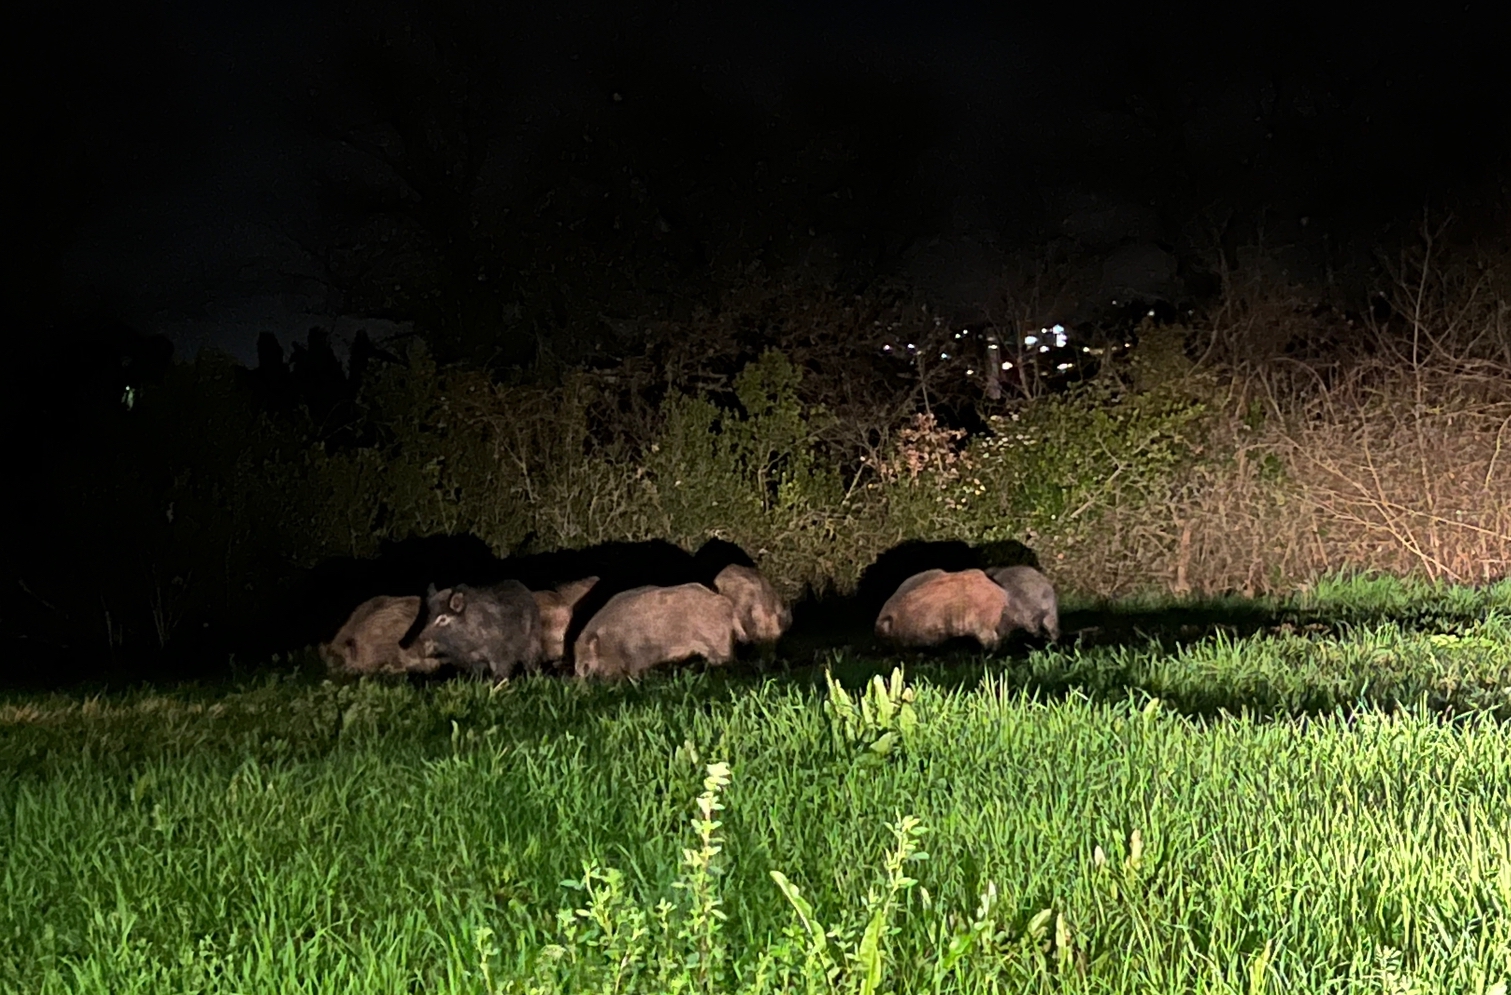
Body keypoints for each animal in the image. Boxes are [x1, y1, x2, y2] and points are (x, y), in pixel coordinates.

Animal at [405, 580, 542, 680]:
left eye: (443, 619)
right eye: (427, 616)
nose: (414, 647)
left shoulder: (502, 655)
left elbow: (500, 676)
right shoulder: (473, 663)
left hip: (532, 644)